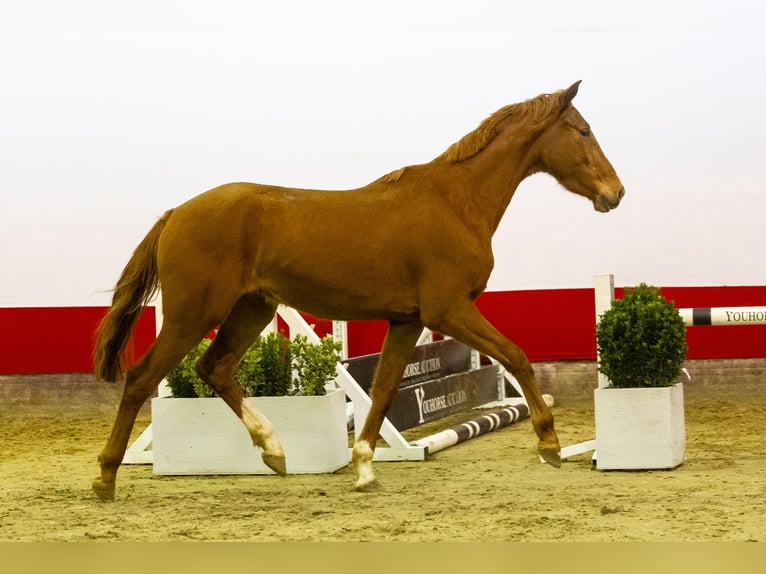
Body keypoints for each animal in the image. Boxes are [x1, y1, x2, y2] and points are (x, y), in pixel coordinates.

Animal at [93, 81, 628, 500]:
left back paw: (274, 452)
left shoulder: (408, 320)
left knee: (214, 367)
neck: (456, 203)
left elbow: (385, 389)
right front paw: (549, 445)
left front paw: (366, 467)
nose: (616, 193)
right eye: (584, 131)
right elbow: (517, 356)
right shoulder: (448, 311)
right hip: (193, 314)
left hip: (252, 310)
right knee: (141, 378)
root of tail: (175, 214)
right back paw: (105, 479)